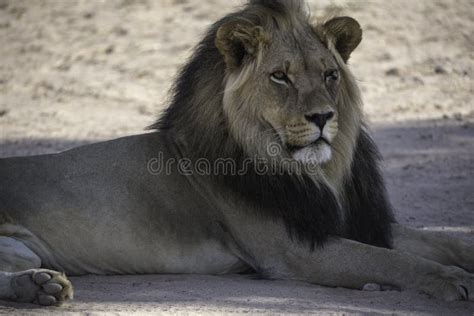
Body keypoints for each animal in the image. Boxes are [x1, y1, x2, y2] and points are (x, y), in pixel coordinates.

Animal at [0, 0, 474, 306]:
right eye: (280, 77)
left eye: (330, 74)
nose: (323, 117)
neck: (318, 172)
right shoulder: (293, 250)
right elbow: (391, 261)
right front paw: (453, 281)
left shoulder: (352, 221)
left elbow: (441, 242)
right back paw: (41, 289)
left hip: (23, 249)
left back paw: (39, 287)